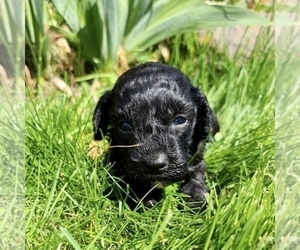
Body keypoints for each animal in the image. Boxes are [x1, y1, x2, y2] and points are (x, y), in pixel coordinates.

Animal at [92, 62, 219, 207]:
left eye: (180, 120)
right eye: (125, 126)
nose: (155, 164)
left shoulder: (197, 155)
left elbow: (196, 173)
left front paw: (195, 200)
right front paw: (146, 197)